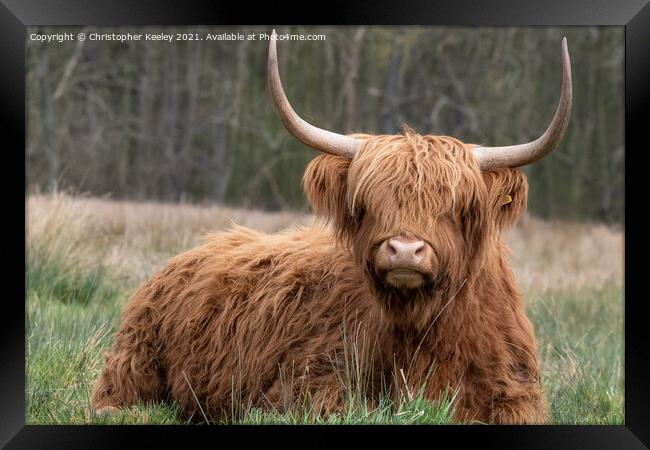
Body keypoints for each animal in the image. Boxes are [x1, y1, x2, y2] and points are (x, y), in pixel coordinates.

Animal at [90, 32, 568, 426]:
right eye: (369, 204)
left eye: (453, 207)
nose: (404, 251)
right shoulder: (307, 387)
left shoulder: (515, 395)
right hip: (132, 367)